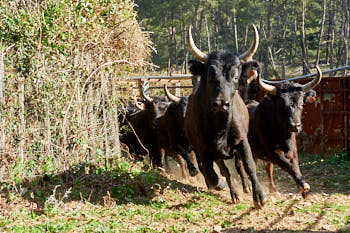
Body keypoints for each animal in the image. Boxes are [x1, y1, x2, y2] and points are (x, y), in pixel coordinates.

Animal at [183, 24, 266, 207]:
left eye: (235, 76)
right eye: (210, 75)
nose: (221, 103)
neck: (220, 126)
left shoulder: (242, 140)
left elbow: (249, 165)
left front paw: (259, 195)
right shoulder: (203, 149)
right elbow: (213, 173)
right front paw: (220, 184)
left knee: (238, 166)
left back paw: (245, 187)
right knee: (222, 170)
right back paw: (233, 192)